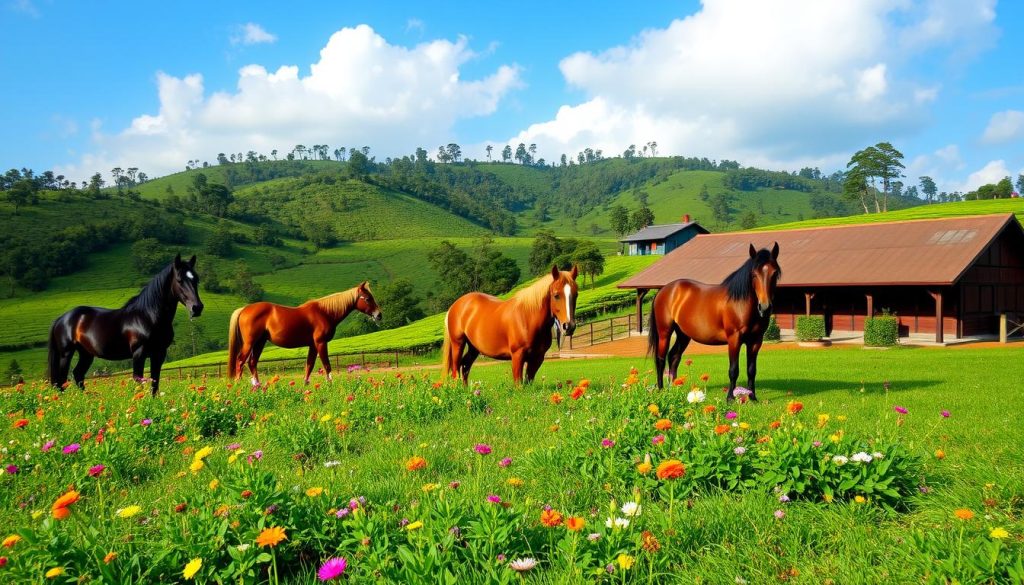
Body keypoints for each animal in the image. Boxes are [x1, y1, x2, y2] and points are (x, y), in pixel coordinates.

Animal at [48, 254, 204, 395]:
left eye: (196, 279)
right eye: (179, 280)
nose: (197, 308)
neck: (148, 317)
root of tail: (62, 318)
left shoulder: (159, 354)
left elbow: (155, 383)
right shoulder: (139, 354)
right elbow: (138, 381)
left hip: (86, 354)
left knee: (77, 375)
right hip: (66, 354)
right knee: (61, 381)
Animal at [227, 281, 382, 385]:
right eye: (368, 298)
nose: (379, 315)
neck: (325, 312)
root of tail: (244, 309)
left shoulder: (313, 345)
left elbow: (309, 365)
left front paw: (306, 385)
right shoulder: (320, 343)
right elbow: (326, 364)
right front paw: (330, 383)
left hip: (260, 342)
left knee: (252, 362)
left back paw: (257, 385)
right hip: (250, 343)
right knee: (240, 361)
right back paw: (239, 383)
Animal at [442, 265, 579, 384]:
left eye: (576, 294)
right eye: (556, 295)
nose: (569, 326)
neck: (528, 318)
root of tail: (455, 306)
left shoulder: (537, 358)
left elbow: (528, 383)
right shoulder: (518, 356)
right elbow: (519, 385)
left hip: (474, 347)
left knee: (465, 366)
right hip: (458, 343)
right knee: (455, 370)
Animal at [647, 243, 781, 400]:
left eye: (774, 273)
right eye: (754, 274)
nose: (764, 307)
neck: (740, 303)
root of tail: (663, 290)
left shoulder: (755, 341)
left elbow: (751, 370)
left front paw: (752, 397)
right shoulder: (734, 339)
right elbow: (733, 370)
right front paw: (730, 398)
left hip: (683, 335)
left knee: (674, 356)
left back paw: (673, 390)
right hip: (664, 332)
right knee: (660, 359)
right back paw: (661, 390)